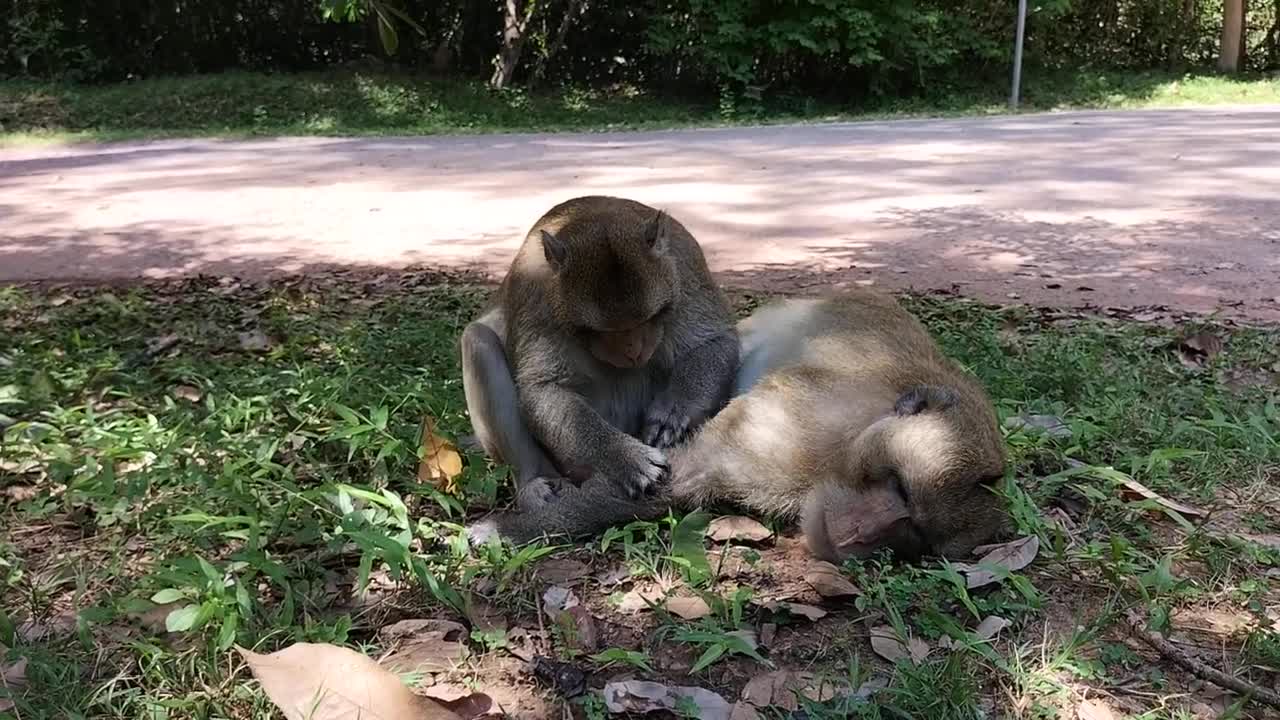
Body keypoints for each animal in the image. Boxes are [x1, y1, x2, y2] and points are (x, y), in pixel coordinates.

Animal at [460, 195, 739, 514]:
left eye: (648, 318)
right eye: (600, 330)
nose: (634, 351)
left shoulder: (685, 269)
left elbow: (715, 342)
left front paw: (674, 412)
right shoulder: (538, 296)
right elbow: (542, 389)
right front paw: (624, 458)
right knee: (477, 342)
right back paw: (532, 482)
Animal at [466, 288, 1010, 565]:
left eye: (914, 536)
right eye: (899, 487)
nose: (859, 536)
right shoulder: (794, 428)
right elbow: (678, 475)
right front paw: (503, 530)